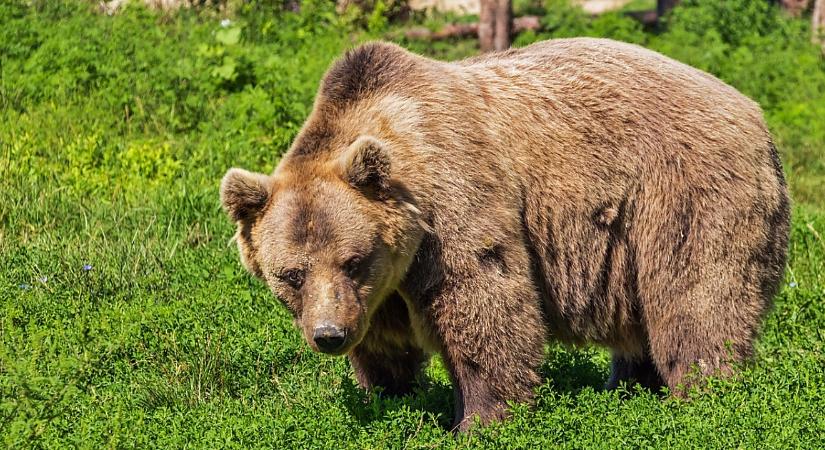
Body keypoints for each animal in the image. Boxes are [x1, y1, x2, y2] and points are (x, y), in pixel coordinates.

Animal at [219, 37, 792, 428]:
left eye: (353, 260)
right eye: (291, 274)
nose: (329, 335)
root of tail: (755, 113)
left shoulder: (453, 203)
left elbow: (485, 303)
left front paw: (480, 419)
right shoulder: (380, 289)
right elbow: (384, 343)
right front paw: (388, 395)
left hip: (684, 194)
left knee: (697, 300)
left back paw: (704, 396)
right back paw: (629, 387)